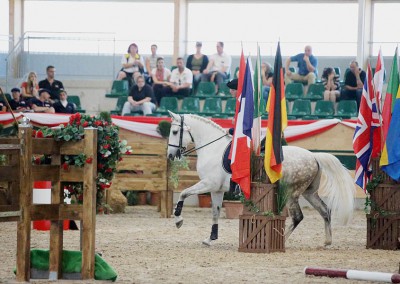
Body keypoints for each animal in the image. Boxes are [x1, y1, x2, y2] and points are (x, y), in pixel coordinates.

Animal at [167, 111, 354, 246]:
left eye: (175, 132)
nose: (170, 155)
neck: (213, 148)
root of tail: (314, 157)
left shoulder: (208, 184)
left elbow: (183, 193)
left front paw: (178, 220)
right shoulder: (216, 189)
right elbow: (215, 212)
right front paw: (210, 238)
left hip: (291, 193)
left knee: (298, 217)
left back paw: (282, 239)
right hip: (309, 193)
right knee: (325, 210)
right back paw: (327, 241)